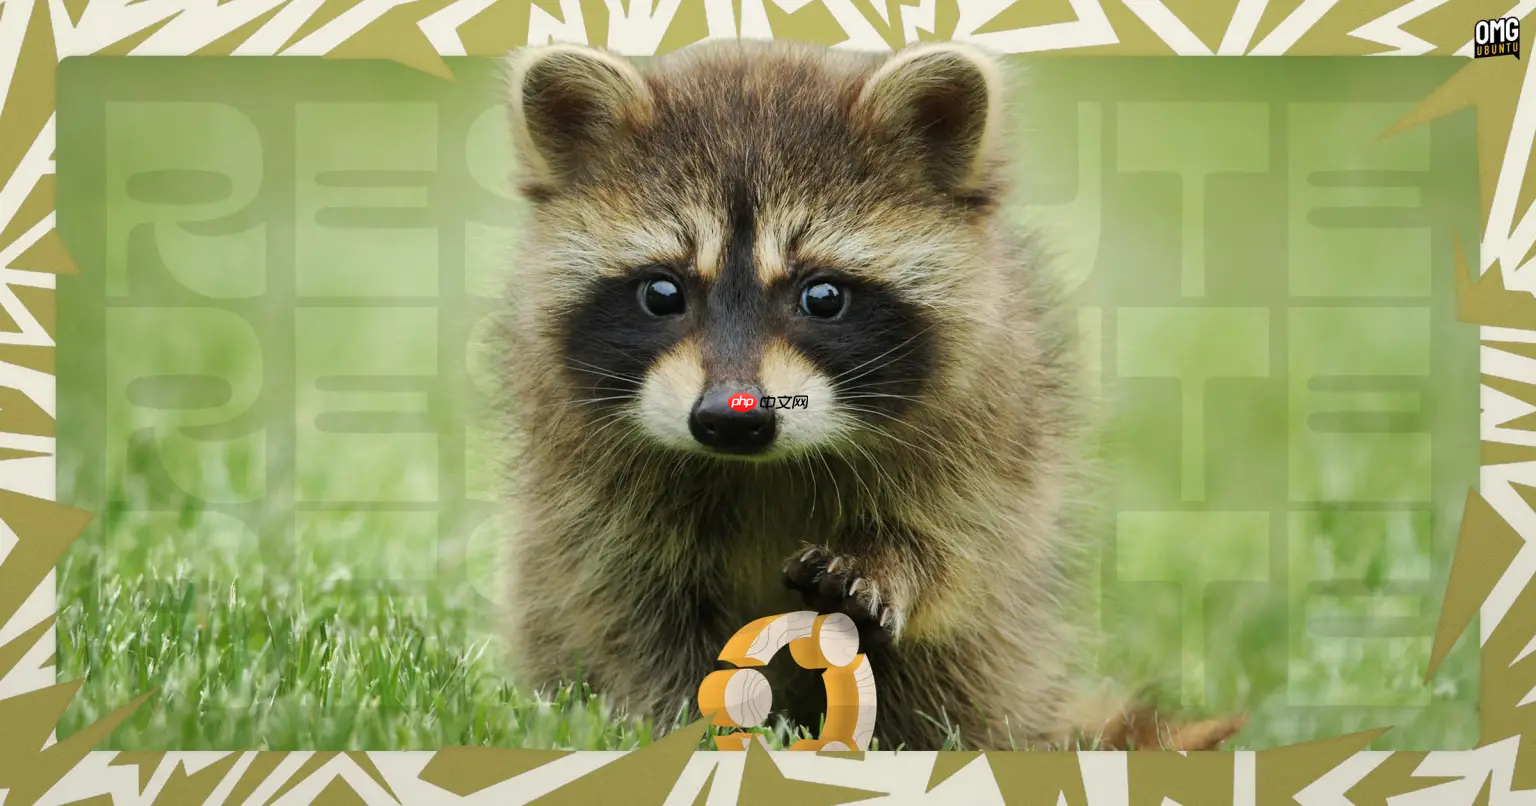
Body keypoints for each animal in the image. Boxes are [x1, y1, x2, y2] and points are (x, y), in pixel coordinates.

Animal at [493, 39, 1232, 751]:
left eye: (822, 296)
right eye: (662, 293)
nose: (728, 421)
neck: (760, 469)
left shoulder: (990, 420)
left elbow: (961, 546)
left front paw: (892, 565)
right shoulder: (587, 485)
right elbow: (625, 606)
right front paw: (685, 722)